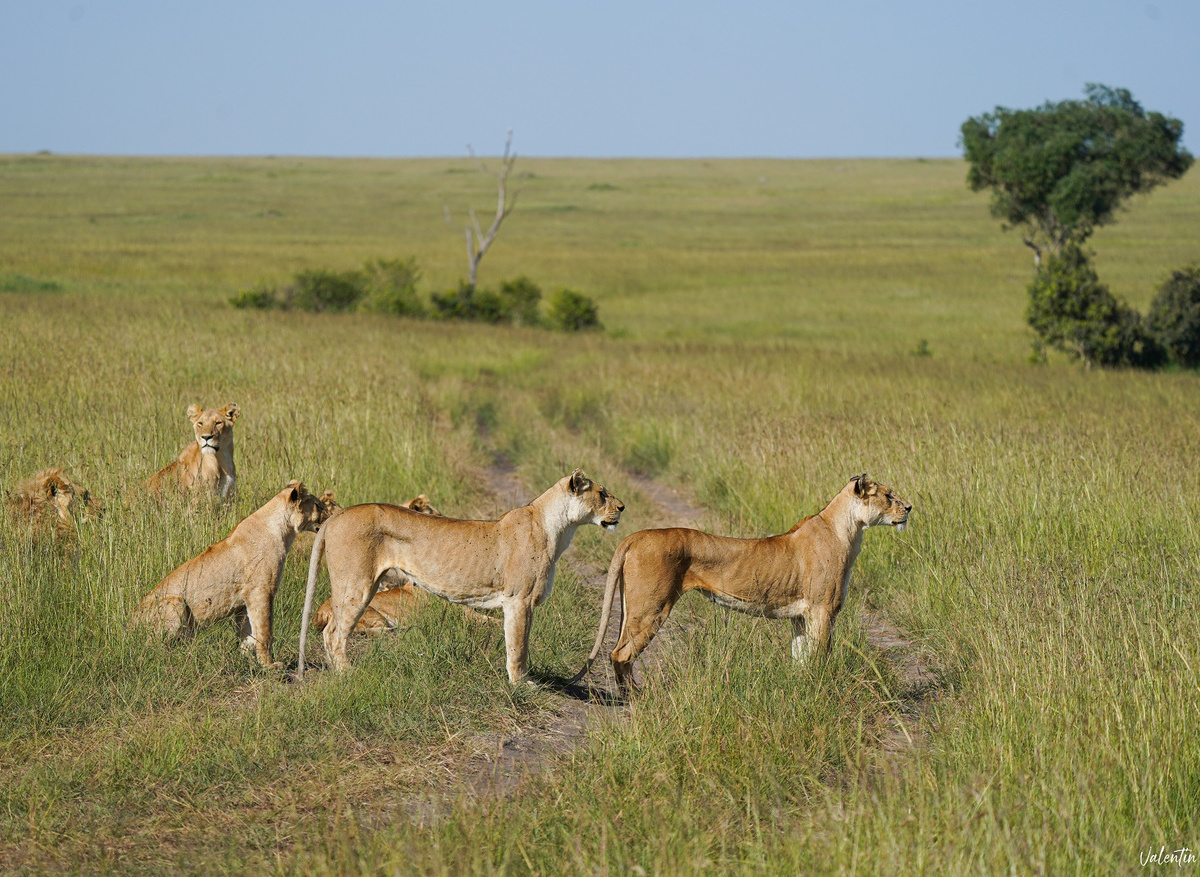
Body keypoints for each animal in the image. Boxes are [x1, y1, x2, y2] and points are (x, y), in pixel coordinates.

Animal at [132, 480, 337, 669]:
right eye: (318, 506)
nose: (331, 517)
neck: (283, 530)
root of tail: (130, 624)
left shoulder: (243, 601)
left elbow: (249, 633)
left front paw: (246, 658)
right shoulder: (260, 591)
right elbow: (265, 631)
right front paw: (270, 665)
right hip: (175, 602)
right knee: (153, 647)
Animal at [298, 470, 625, 683]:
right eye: (602, 494)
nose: (622, 507)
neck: (560, 529)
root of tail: (337, 516)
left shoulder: (523, 604)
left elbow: (522, 642)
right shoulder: (517, 600)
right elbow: (517, 646)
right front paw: (521, 685)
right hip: (356, 584)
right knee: (334, 632)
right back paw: (347, 674)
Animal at [572, 474, 911, 690]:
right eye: (888, 495)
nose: (909, 508)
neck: (849, 531)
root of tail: (635, 536)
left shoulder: (801, 617)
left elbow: (801, 658)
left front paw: (801, 688)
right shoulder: (822, 610)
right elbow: (821, 656)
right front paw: (821, 690)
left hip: (633, 606)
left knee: (619, 652)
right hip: (651, 607)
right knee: (621, 654)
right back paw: (635, 699)